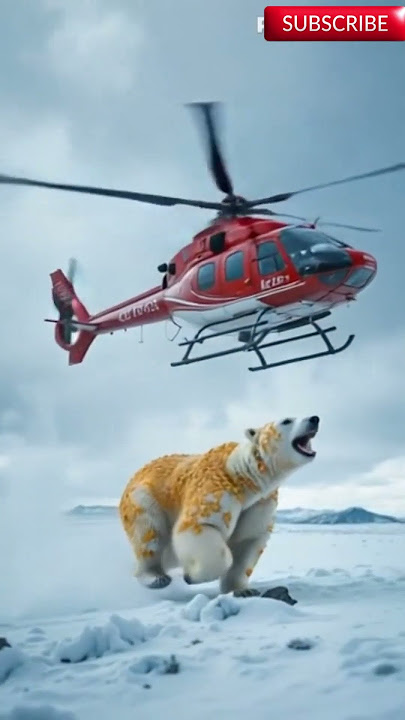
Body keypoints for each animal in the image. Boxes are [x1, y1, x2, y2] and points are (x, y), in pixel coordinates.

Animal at [119, 414, 319, 595]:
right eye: (287, 420)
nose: (314, 419)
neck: (243, 474)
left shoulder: (259, 502)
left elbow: (248, 541)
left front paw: (242, 590)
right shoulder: (217, 488)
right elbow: (200, 526)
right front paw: (192, 576)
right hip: (143, 498)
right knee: (149, 534)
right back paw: (155, 577)